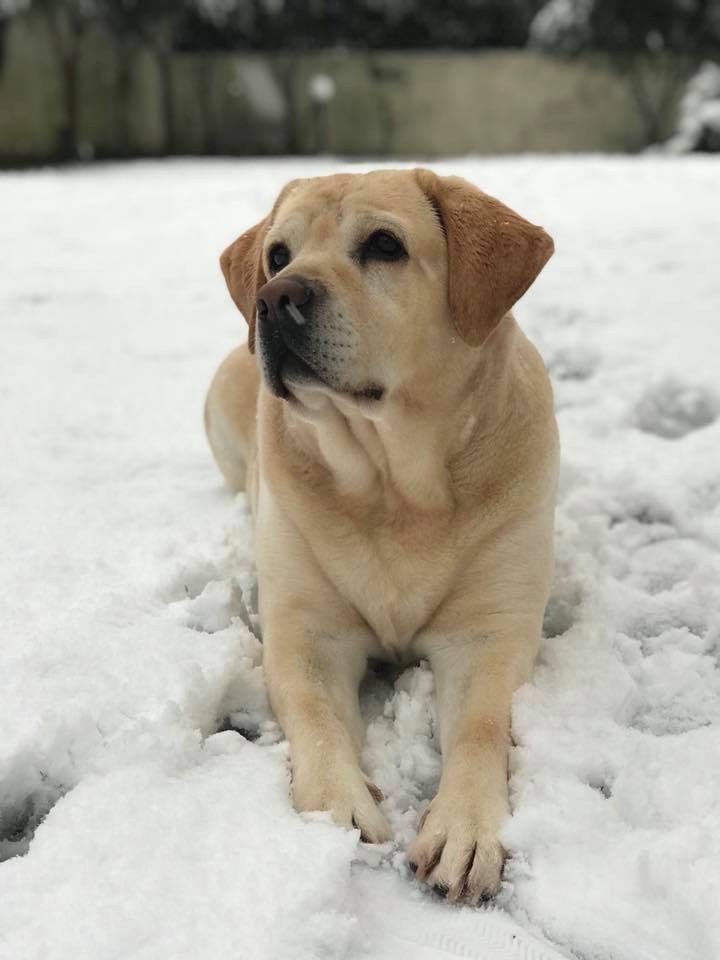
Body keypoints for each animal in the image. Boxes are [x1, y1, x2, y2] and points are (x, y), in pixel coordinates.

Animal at [205, 171, 560, 900]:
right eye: (277, 255)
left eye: (384, 245)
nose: (274, 298)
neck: (394, 487)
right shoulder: (307, 631)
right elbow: (314, 714)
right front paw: (336, 806)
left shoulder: (489, 632)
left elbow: (483, 724)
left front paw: (464, 830)